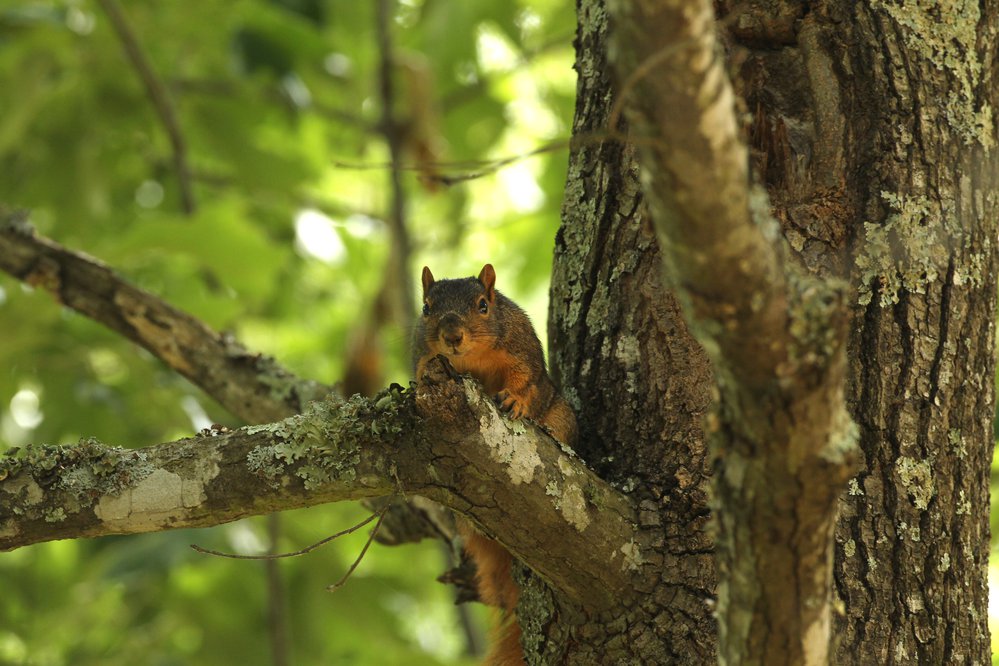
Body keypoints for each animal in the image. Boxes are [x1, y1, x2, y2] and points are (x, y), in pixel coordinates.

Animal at [414, 262, 584, 660]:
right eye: (426, 308)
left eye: (482, 305)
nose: (452, 335)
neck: (471, 359)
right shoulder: (424, 355)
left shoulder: (521, 351)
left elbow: (526, 381)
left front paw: (517, 401)